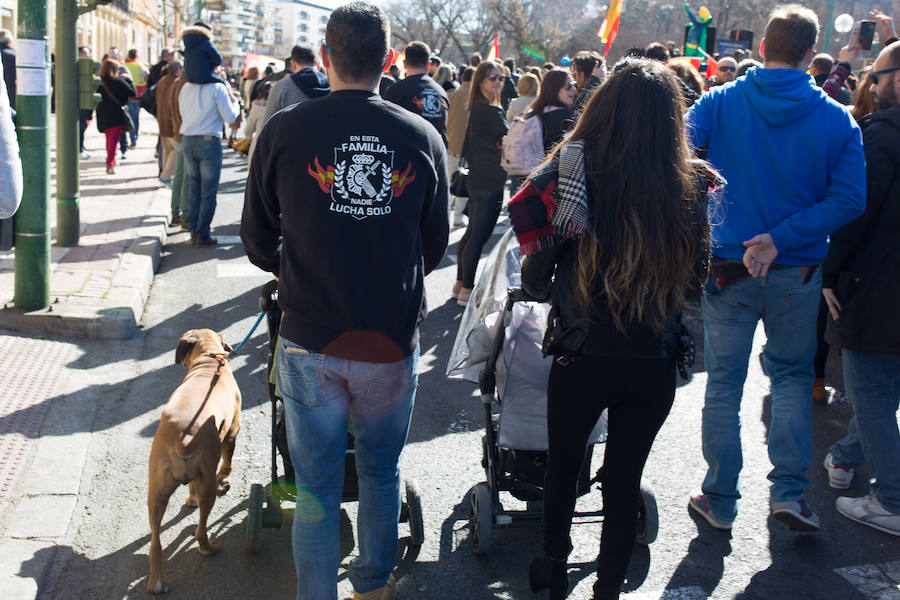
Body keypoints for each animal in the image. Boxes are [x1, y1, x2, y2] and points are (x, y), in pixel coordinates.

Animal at [147, 330, 241, 592]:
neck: (210, 361)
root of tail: (182, 437)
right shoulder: (232, 433)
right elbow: (228, 462)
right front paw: (225, 479)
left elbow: (189, 489)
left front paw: (190, 499)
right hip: (207, 486)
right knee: (201, 530)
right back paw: (209, 548)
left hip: (155, 494)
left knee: (155, 543)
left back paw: (156, 582)